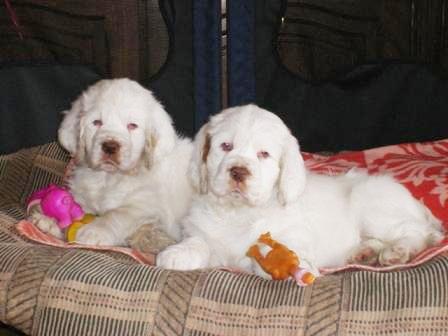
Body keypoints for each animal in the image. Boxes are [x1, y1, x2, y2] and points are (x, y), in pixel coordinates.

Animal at [156, 105, 442, 278]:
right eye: (225, 146)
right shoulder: (202, 232)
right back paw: (364, 253)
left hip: (373, 205)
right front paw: (175, 254)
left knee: (416, 233)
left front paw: (290, 265)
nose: (238, 172)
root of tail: (416, 204)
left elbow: (275, 252)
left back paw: (396, 252)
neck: (239, 213)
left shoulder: (294, 236)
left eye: (264, 154)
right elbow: (198, 241)